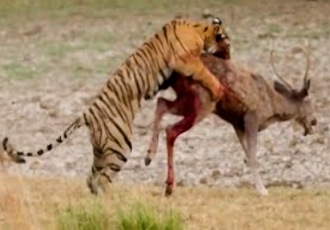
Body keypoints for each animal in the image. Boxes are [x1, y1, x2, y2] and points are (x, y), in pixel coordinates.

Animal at [1, 17, 229, 195]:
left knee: (91, 179)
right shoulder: (184, 60)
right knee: (102, 180)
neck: (198, 29)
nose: (229, 55)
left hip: (101, 151)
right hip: (121, 147)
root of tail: (87, 114)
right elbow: (205, 73)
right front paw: (218, 89)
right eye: (228, 41)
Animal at [144, 46, 318, 196]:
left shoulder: (237, 123)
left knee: (161, 103)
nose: (315, 121)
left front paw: (259, 187)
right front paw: (262, 191)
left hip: (186, 99)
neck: (272, 107)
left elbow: (247, 156)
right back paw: (168, 186)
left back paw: (149, 156)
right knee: (171, 129)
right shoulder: (252, 117)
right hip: (203, 101)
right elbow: (253, 157)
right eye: (309, 102)